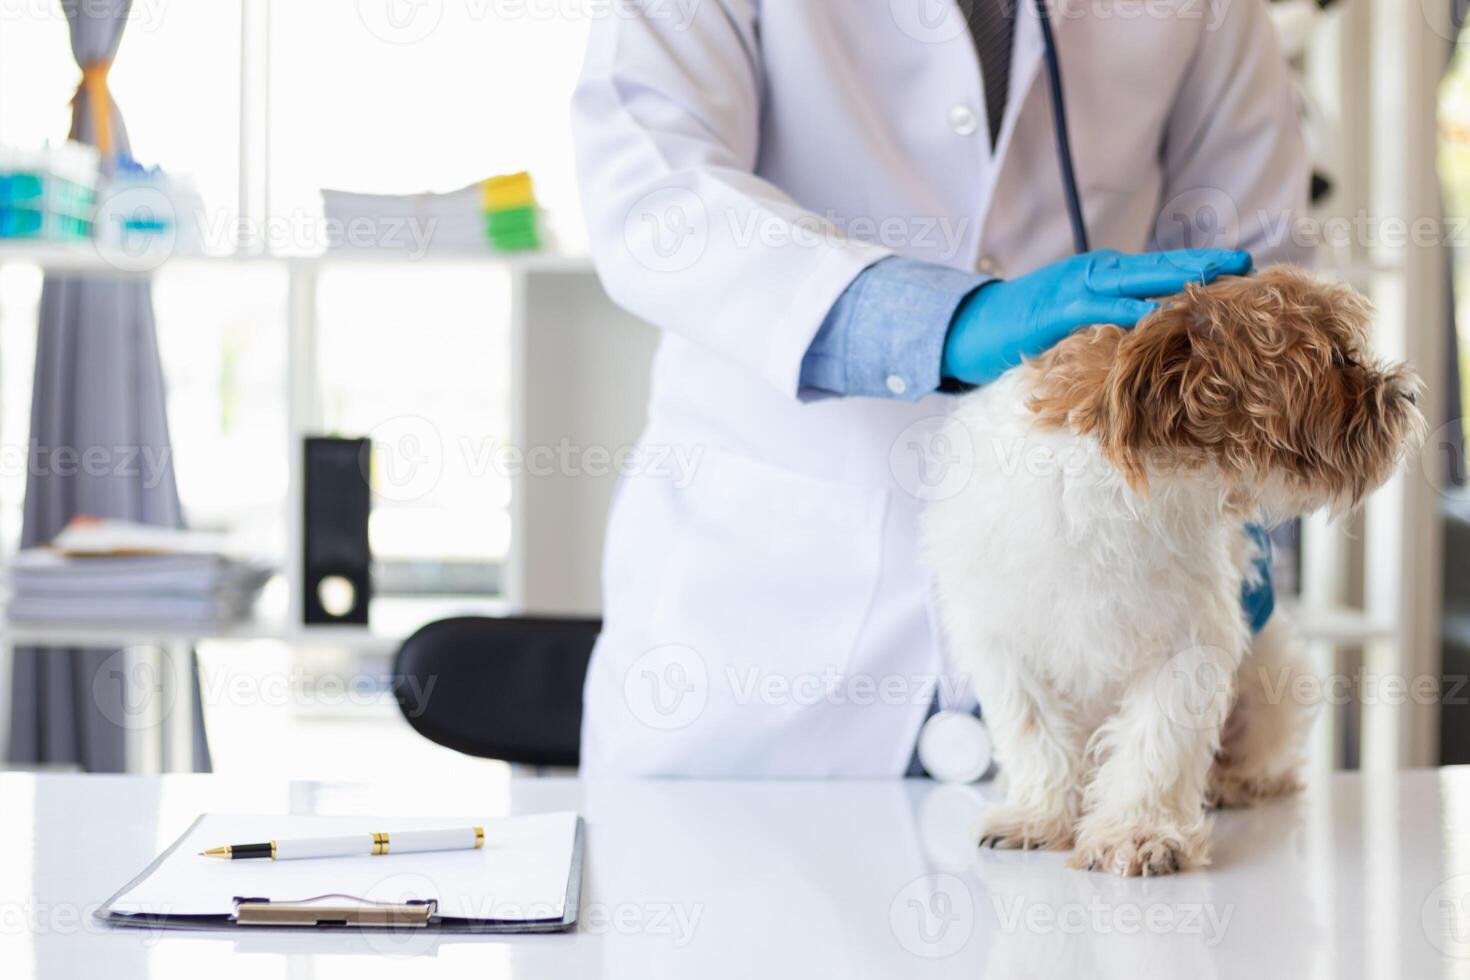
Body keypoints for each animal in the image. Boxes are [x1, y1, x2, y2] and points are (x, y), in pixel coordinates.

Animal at [923, 265, 1417, 875]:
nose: (1407, 391)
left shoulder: (1185, 643)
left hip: (1276, 683)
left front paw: (1138, 832)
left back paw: (1236, 782)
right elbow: (1034, 734)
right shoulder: (1003, 644)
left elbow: (1155, 742)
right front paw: (1038, 817)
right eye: (1339, 358)